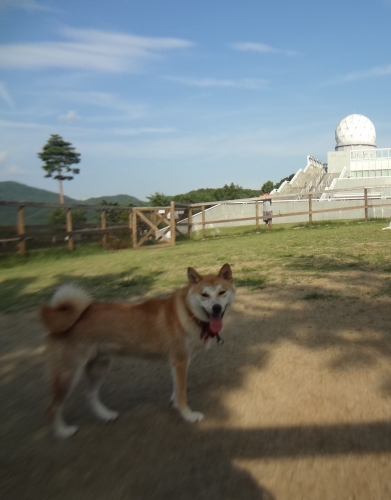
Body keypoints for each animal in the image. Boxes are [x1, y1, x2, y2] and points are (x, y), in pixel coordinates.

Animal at [40, 264, 236, 440]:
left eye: (222, 292)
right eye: (204, 295)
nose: (216, 308)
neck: (187, 313)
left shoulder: (176, 364)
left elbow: (176, 389)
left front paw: (174, 403)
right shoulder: (180, 361)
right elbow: (182, 394)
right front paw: (188, 415)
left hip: (100, 367)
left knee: (90, 395)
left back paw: (105, 415)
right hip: (69, 374)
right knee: (51, 407)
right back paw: (62, 432)